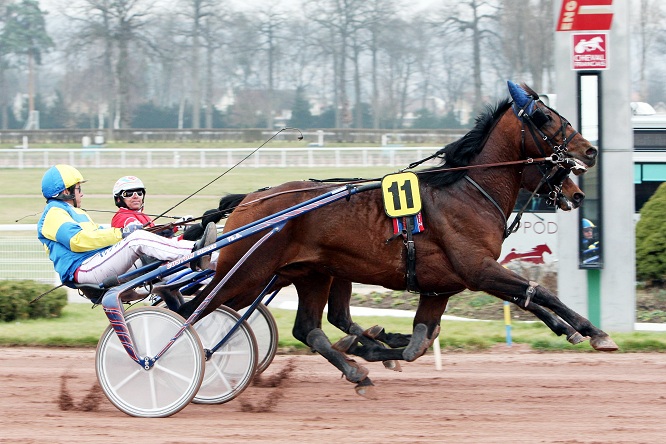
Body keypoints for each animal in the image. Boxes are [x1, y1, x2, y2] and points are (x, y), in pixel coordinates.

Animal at [178, 82, 616, 396]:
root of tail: (249, 199)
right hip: (246, 273)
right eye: (544, 117)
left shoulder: (443, 286)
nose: (590, 152)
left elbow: (422, 339)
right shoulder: (477, 269)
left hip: (310, 274)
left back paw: (356, 369)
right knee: (193, 311)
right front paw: (594, 332)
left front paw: (375, 347)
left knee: (307, 329)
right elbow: (540, 291)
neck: (467, 192)